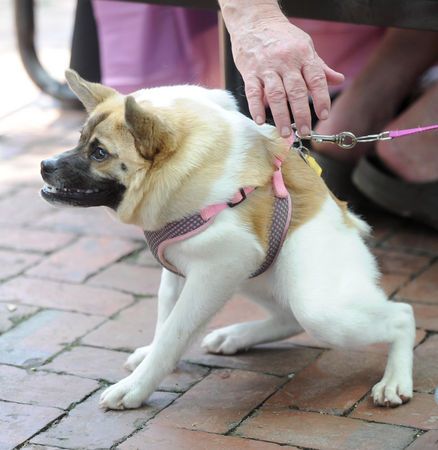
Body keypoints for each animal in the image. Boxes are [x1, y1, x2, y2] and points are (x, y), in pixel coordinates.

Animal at [40, 68, 414, 410]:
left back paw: (395, 380)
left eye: (100, 153)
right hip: (254, 276)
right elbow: (165, 318)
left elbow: (175, 331)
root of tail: (350, 222)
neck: (181, 168)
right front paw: (148, 360)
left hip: (318, 307)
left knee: (400, 315)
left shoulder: (218, 267)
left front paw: (136, 387)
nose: (44, 165)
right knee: (289, 317)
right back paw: (235, 336)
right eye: (80, 138)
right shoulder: (181, 267)